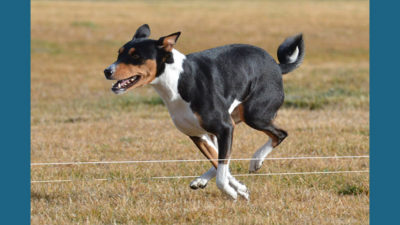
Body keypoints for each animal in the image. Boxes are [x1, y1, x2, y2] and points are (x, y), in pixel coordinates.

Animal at [103, 24, 304, 200]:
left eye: (136, 55)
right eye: (119, 54)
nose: (107, 71)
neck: (177, 81)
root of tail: (276, 65)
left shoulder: (225, 128)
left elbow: (222, 172)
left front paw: (231, 193)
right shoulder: (198, 134)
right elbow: (218, 161)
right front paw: (240, 189)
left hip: (254, 115)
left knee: (280, 134)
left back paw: (256, 160)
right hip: (225, 125)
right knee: (225, 158)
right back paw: (205, 180)